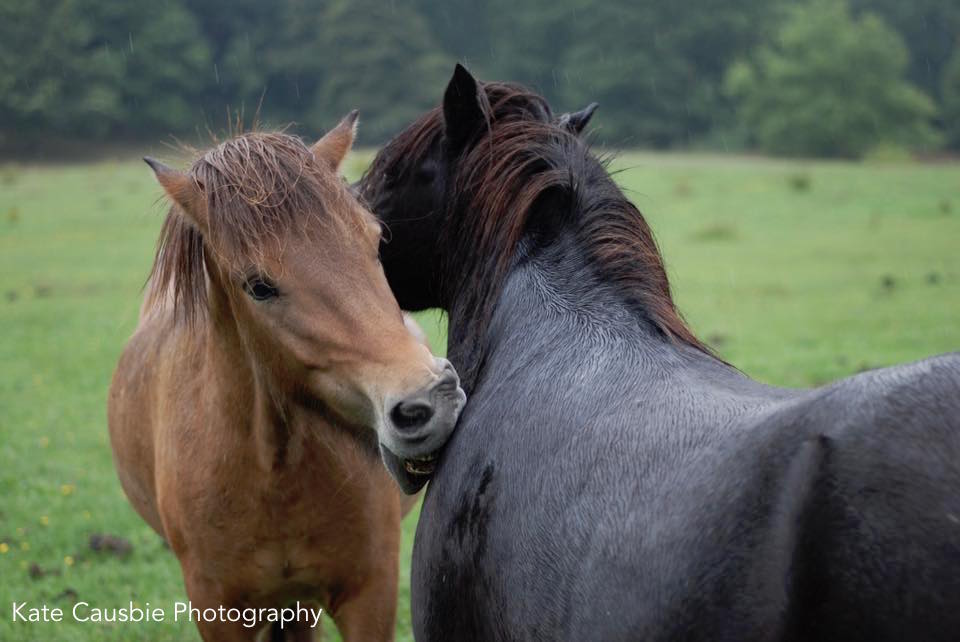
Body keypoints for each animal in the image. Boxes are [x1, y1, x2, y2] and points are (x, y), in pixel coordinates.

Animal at [109, 116, 464, 640]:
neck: (271, 472)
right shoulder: (218, 610)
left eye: (375, 240)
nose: (429, 401)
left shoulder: (370, 595)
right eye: (259, 287)